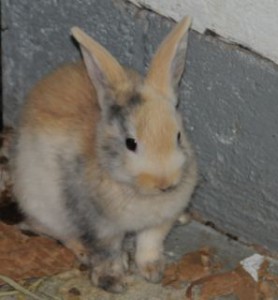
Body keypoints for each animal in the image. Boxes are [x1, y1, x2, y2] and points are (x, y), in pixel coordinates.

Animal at [11, 15, 197, 292]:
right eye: (131, 143)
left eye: (178, 136)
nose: (165, 183)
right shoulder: (101, 227)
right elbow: (107, 253)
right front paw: (113, 282)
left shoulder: (158, 223)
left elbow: (149, 244)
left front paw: (152, 272)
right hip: (45, 207)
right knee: (55, 231)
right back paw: (82, 252)